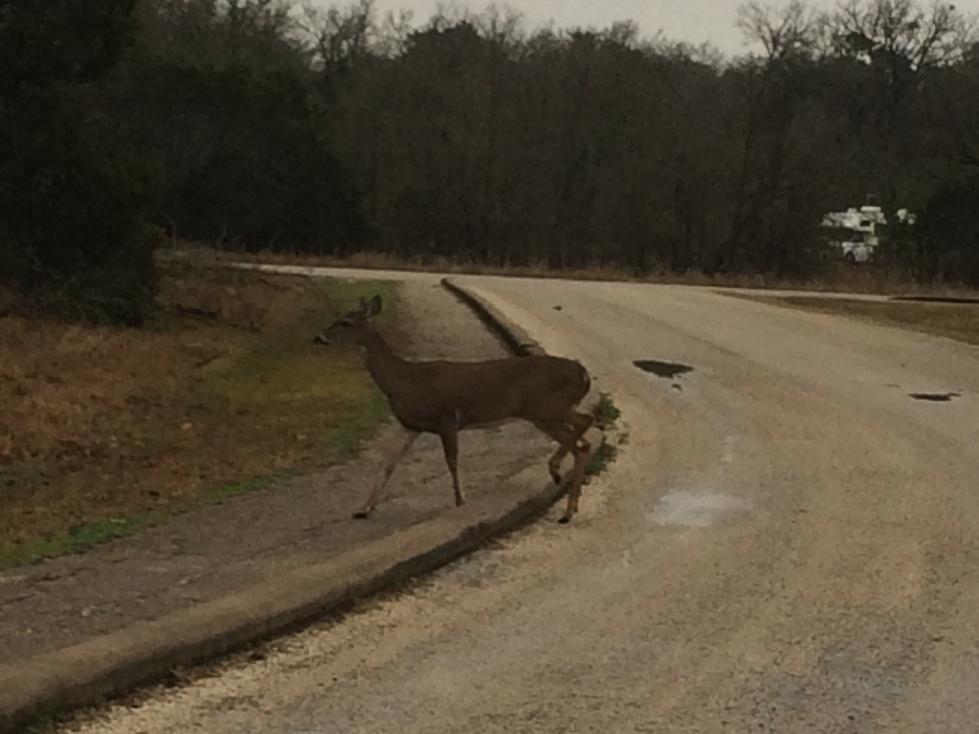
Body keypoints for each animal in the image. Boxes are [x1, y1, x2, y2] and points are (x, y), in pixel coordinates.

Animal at [318, 296, 592, 528]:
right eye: (340, 317)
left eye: (346, 322)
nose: (319, 337)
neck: (402, 381)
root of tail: (583, 373)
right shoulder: (410, 425)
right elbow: (387, 463)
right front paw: (363, 508)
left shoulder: (446, 417)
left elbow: (451, 460)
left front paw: (460, 501)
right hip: (548, 412)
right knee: (583, 440)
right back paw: (569, 501)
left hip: (547, 408)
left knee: (584, 428)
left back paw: (559, 482)